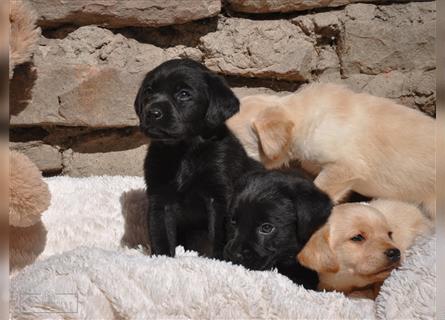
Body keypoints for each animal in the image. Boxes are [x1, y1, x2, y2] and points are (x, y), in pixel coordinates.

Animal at [134, 59, 262, 260]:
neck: (183, 152)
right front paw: (162, 258)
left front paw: (219, 261)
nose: (152, 112)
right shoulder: (159, 197)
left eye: (184, 94)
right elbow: (160, 232)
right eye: (148, 91)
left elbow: (219, 233)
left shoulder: (218, 196)